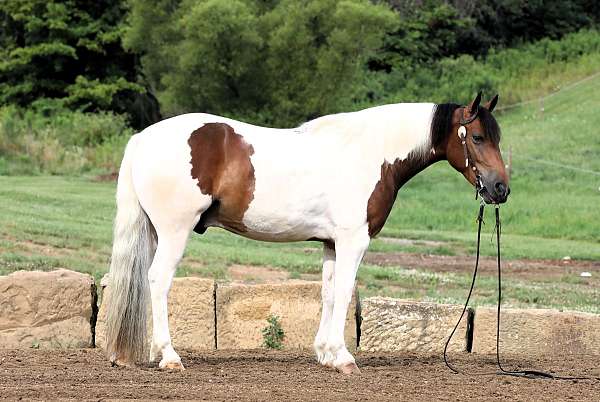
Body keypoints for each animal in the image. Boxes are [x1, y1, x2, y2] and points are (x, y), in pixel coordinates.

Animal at [105, 91, 508, 374]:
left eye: (496, 137)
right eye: (476, 137)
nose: (500, 188)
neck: (370, 153)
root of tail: (142, 138)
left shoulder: (331, 243)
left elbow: (329, 295)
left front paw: (325, 354)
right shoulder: (353, 241)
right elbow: (345, 293)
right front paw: (343, 357)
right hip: (175, 231)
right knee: (158, 280)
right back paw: (169, 355)